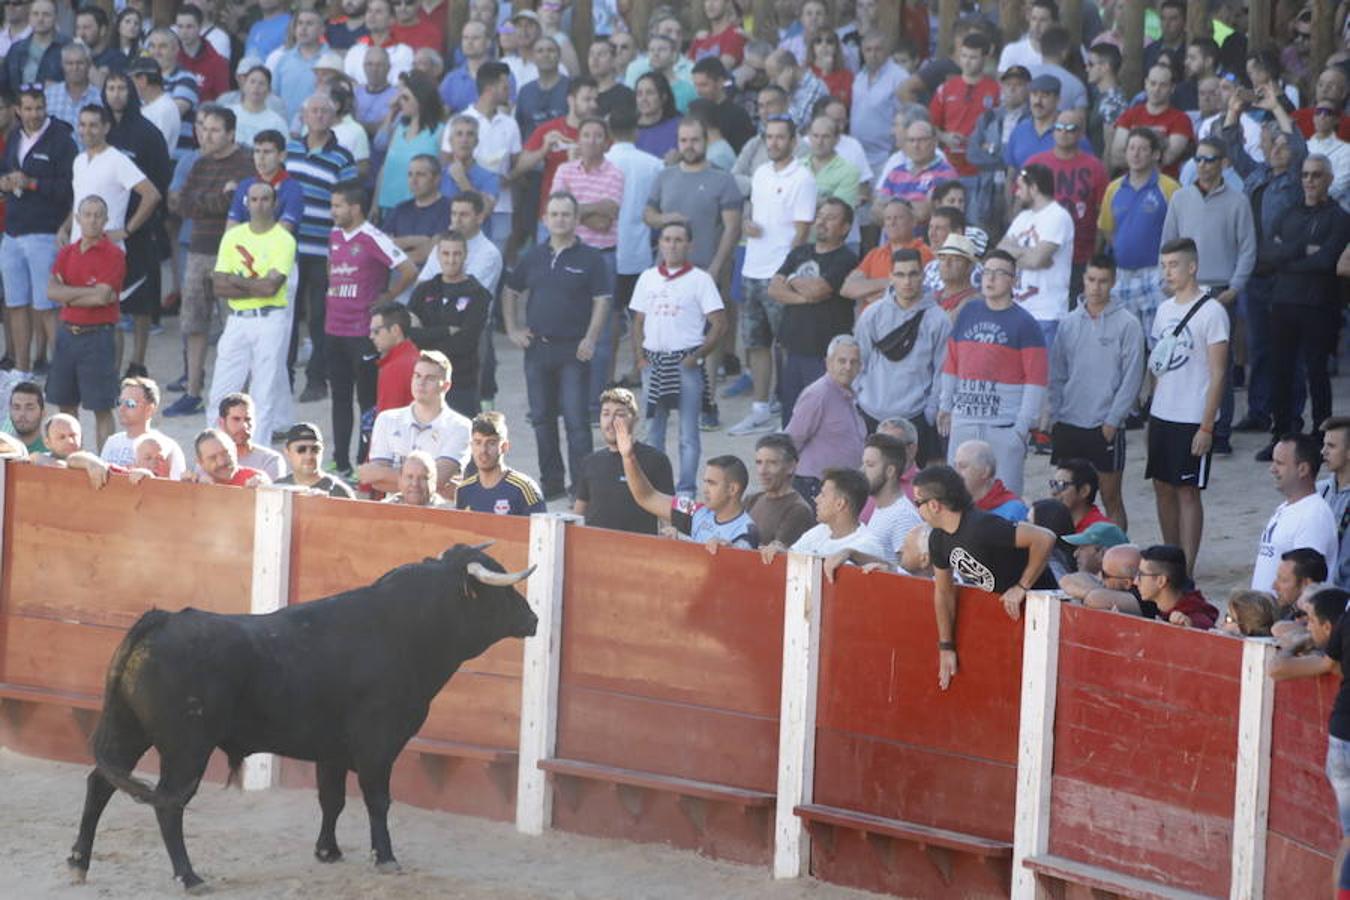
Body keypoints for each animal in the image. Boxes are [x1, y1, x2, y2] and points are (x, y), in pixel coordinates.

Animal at [64, 545, 537, 890]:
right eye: (502, 590)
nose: (533, 619)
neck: (406, 629)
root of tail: (160, 620)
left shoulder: (333, 750)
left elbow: (332, 799)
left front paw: (327, 852)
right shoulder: (378, 745)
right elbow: (377, 799)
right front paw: (385, 857)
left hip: (129, 730)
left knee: (100, 783)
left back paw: (78, 862)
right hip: (185, 749)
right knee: (168, 803)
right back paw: (189, 876)